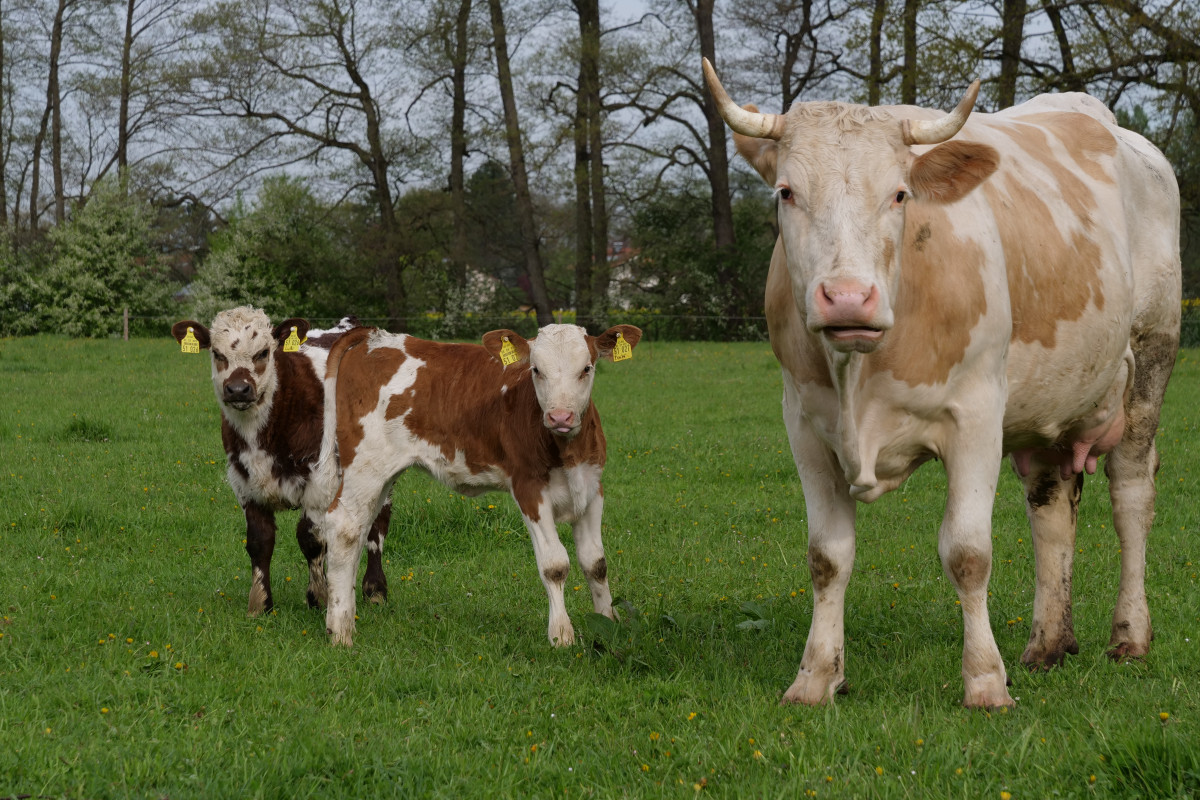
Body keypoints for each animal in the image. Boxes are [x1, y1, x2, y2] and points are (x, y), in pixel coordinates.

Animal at [170, 304, 388, 614]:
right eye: (217, 354)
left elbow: (310, 539)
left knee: (378, 524)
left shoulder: (318, 479)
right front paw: (260, 604)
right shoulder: (244, 481)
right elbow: (259, 540)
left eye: (263, 352)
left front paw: (318, 596)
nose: (238, 389)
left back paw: (376, 589)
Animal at [314, 323, 643, 652]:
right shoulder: (529, 489)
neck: (566, 451)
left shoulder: (592, 487)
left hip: (381, 478)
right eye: (536, 370)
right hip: (365, 468)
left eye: (586, 368)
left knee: (359, 531)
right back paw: (340, 631)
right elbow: (555, 565)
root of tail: (373, 336)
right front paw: (562, 635)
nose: (560, 416)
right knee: (344, 528)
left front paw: (608, 625)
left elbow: (595, 563)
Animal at [700, 59, 1180, 705]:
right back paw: (1047, 644)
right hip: (1050, 401)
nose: (847, 298)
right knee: (1052, 507)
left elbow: (968, 553)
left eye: (900, 194)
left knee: (1131, 494)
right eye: (786, 192)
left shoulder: (976, 415)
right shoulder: (802, 424)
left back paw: (1129, 635)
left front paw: (984, 682)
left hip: (1152, 357)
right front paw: (816, 677)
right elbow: (827, 557)